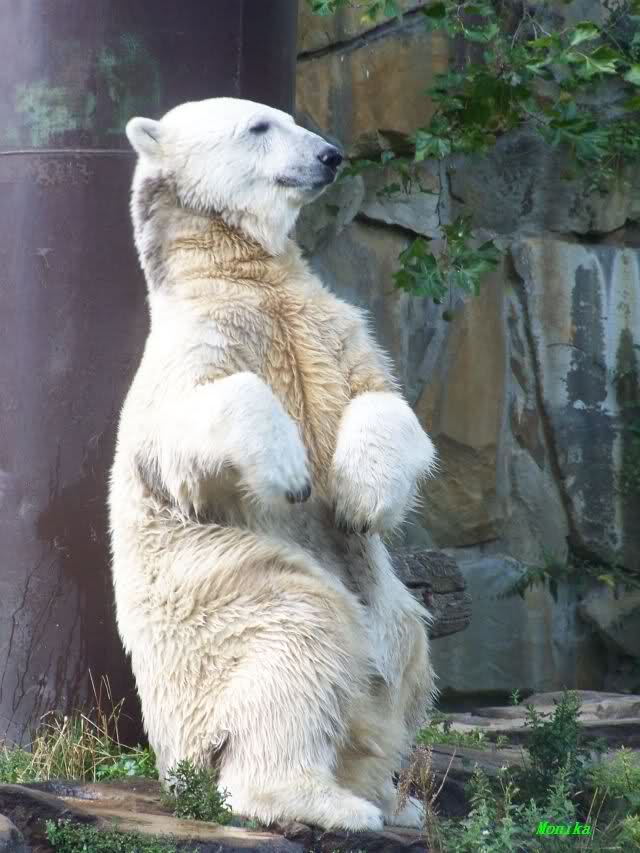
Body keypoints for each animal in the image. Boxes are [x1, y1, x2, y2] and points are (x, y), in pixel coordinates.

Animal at [109, 97, 437, 832]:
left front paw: (361, 497)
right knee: (297, 637)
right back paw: (320, 802)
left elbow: (382, 399)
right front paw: (292, 471)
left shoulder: (331, 326)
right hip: (218, 584)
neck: (239, 270)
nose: (329, 155)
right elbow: (191, 421)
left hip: (382, 607)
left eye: (288, 117)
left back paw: (392, 799)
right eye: (259, 126)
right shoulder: (201, 342)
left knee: (404, 656)